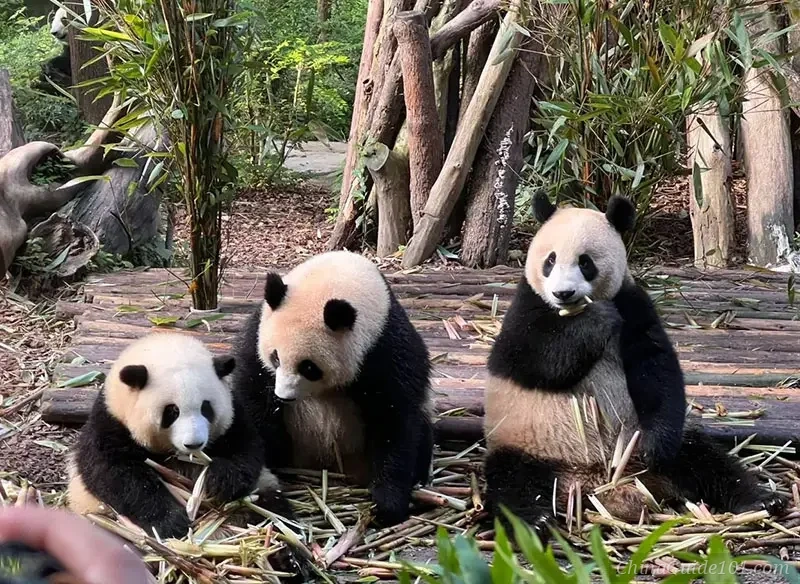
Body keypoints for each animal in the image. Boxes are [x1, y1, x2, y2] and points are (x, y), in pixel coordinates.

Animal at [66, 332, 292, 540]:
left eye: (206, 408)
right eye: (172, 412)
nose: (194, 444)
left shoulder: (235, 413)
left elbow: (247, 448)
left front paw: (221, 480)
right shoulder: (111, 422)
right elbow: (115, 473)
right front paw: (171, 521)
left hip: (262, 492)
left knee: (274, 513)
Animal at [231, 250, 435, 526]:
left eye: (309, 368)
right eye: (275, 357)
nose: (283, 397)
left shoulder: (384, 346)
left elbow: (394, 418)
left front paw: (387, 504)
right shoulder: (257, 333)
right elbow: (252, 393)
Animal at [483, 192, 787, 540]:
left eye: (585, 262)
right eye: (549, 261)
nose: (563, 293)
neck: (572, 312)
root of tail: (598, 483)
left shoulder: (632, 301)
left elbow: (655, 368)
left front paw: (655, 445)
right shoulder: (527, 305)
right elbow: (531, 360)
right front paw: (597, 319)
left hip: (648, 444)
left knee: (706, 460)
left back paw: (761, 499)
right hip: (530, 444)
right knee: (513, 482)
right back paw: (534, 520)